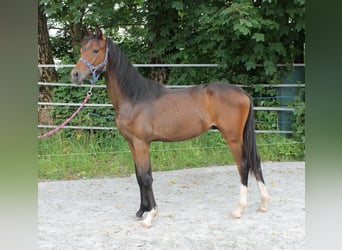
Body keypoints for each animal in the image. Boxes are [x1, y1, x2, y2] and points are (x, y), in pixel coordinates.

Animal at [71, 27, 270, 229]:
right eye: (82, 49)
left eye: (95, 50)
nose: (75, 75)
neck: (134, 98)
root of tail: (242, 92)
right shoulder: (132, 143)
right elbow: (139, 176)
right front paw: (141, 210)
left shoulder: (142, 143)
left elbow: (146, 177)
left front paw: (150, 214)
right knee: (255, 162)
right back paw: (263, 203)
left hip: (233, 137)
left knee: (243, 165)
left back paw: (239, 209)